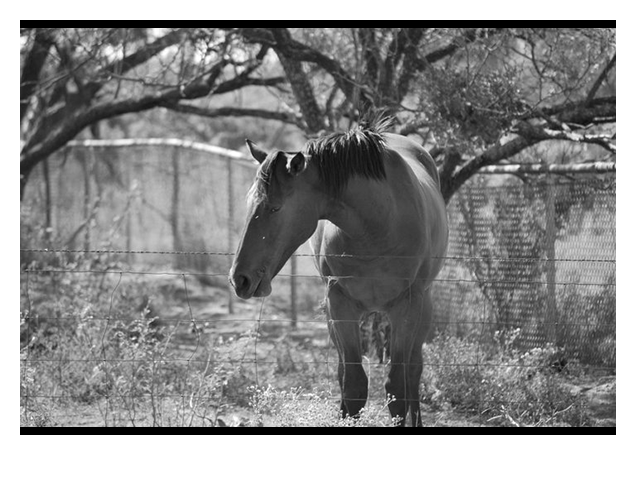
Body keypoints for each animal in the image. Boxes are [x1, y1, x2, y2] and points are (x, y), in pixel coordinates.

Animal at [229, 118, 448, 426]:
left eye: (275, 208)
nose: (240, 279)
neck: (378, 223)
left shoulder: (408, 306)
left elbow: (398, 387)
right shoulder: (340, 303)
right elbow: (353, 385)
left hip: (422, 308)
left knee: (413, 371)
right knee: (346, 372)